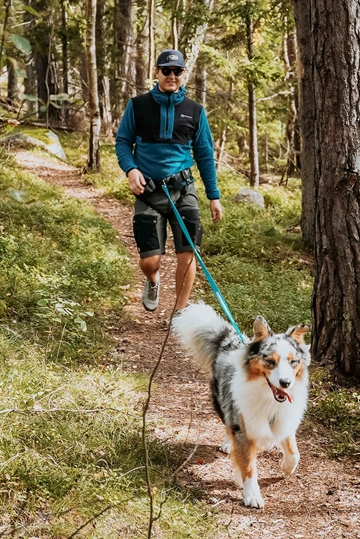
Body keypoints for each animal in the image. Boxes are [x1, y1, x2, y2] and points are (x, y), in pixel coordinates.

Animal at [172, 304, 310, 510]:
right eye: (270, 361)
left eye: (293, 361)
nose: (285, 383)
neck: (268, 398)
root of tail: (229, 340)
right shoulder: (244, 428)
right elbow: (248, 466)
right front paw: (251, 495)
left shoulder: (284, 420)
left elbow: (294, 453)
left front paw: (286, 468)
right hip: (223, 403)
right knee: (228, 427)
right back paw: (229, 447)